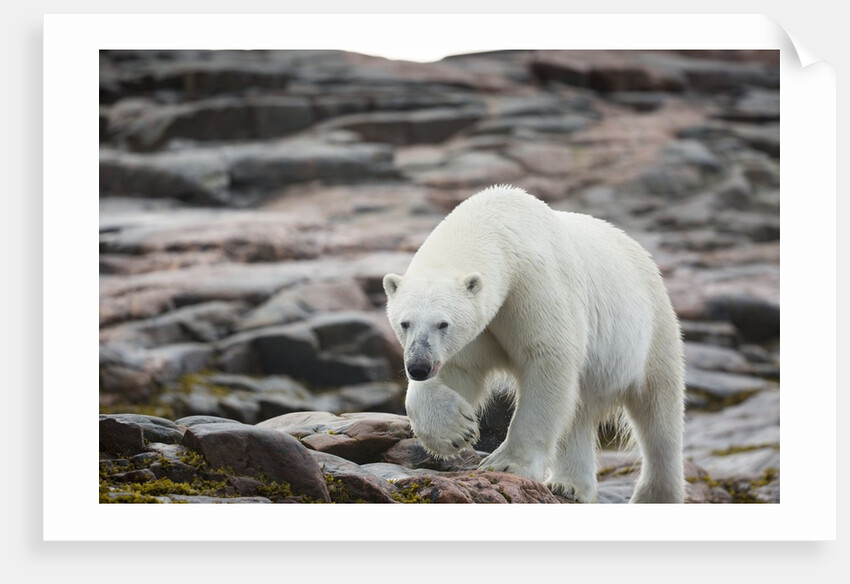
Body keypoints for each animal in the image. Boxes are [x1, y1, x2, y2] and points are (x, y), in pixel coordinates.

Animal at [382, 185, 685, 503]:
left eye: (443, 324)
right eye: (404, 323)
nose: (418, 367)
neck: (496, 226)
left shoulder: (535, 286)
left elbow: (547, 360)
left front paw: (507, 463)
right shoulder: (479, 330)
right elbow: (459, 369)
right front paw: (456, 431)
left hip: (651, 330)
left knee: (658, 412)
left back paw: (655, 494)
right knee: (579, 411)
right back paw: (569, 485)